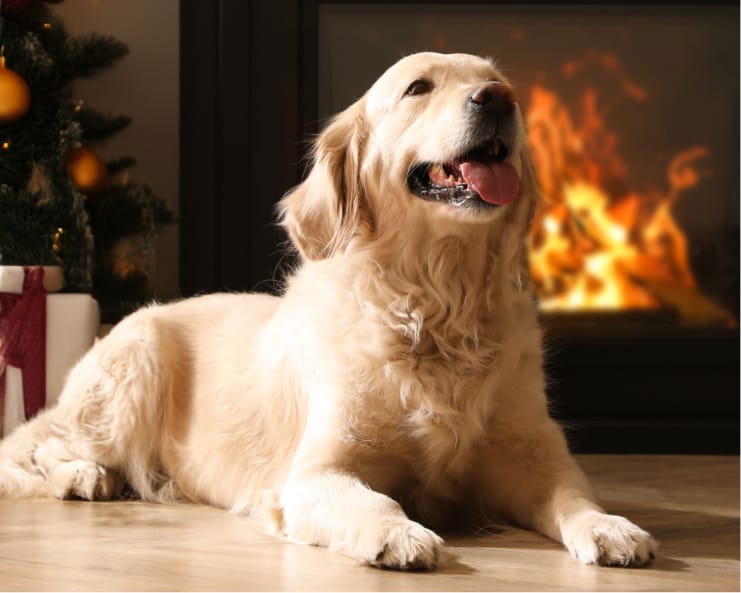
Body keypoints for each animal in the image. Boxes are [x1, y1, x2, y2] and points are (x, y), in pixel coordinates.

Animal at [0, 52, 652, 568]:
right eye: (418, 87)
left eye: (496, 81)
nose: (500, 100)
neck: (438, 304)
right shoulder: (316, 473)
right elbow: (374, 498)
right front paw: (400, 534)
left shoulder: (531, 454)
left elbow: (573, 494)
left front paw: (611, 527)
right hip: (137, 363)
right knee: (40, 446)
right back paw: (85, 476)